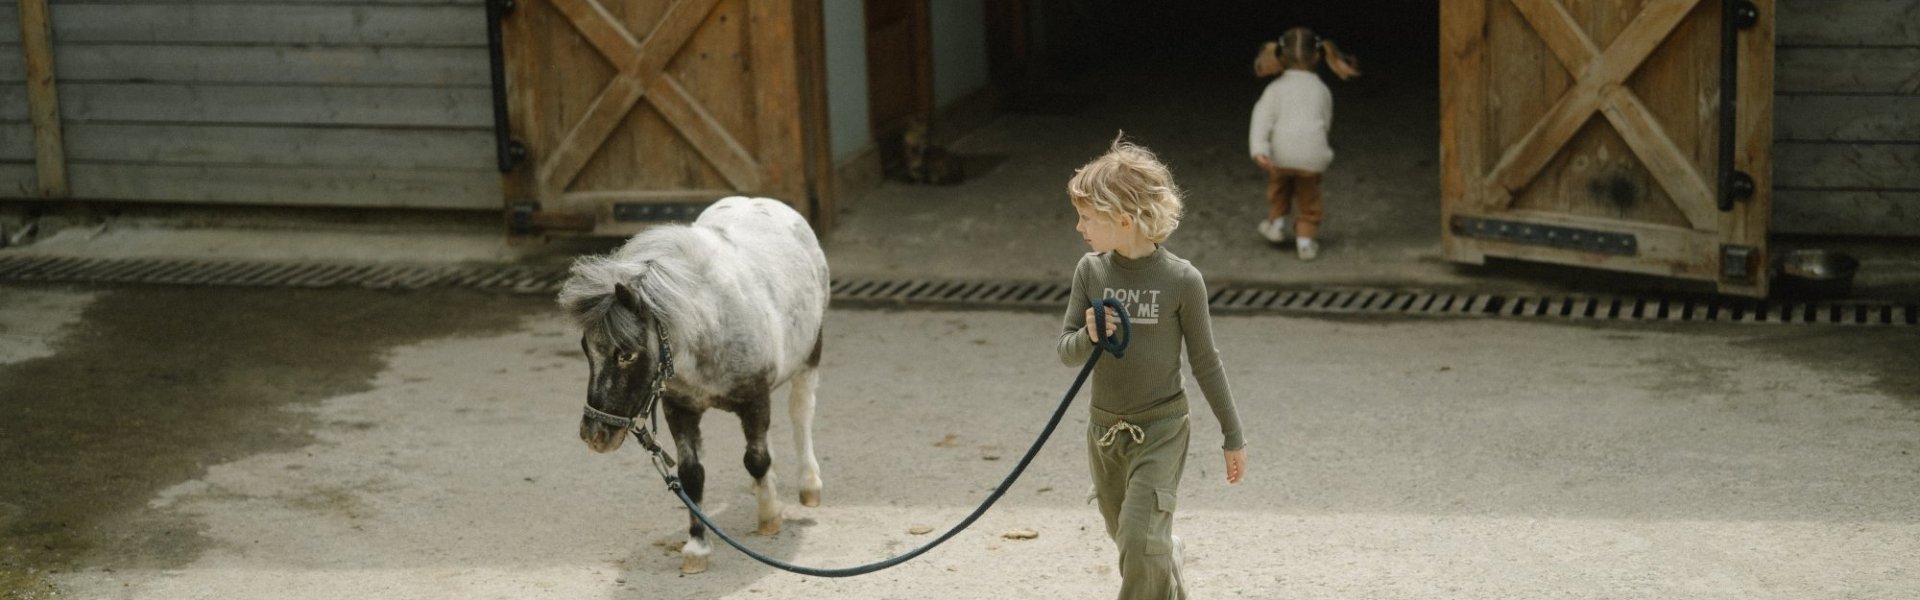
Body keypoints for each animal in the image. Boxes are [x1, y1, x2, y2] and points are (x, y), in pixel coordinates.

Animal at [552, 196, 829, 573]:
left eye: (627, 354)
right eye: (585, 349)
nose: (593, 435)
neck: (710, 324)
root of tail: (762, 202)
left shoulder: (755, 398)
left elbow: (756, 459)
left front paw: (770, 516)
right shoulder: (679, 408)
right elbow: (691, 474)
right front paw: (697, 548)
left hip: (810, 355)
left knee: (801, 414)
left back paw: (809, 485)